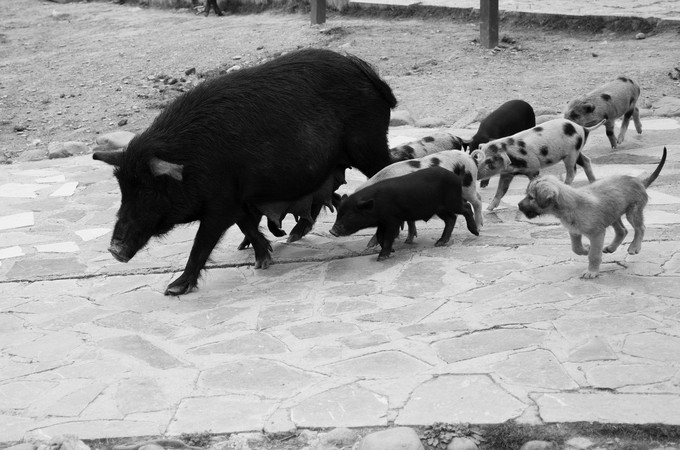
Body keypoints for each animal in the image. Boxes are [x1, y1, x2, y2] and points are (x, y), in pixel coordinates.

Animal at [93, 48, 396, 296]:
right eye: (123, 190)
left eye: (147, 190)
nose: (114, 250)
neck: (191, 159)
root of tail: (369, 74)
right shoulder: (236, 197)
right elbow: (246, 225)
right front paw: (264, 260)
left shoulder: (221, 201)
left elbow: (202, 243)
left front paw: (173, 288)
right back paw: (294, 236)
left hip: (368, 145)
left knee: (389, 170)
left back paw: (373, 242)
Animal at [516, 148, 668, 278]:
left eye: (531, 197)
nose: (519, 205)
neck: (570, 205)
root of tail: (639, 181)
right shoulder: (574, 232)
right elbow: (576, 248)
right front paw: (586, 249)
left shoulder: (597, 234)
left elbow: (594, 255)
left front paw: (592, 271)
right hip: (613, 214)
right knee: (622, 231)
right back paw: (611, 247)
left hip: (633, 211)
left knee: (640, 228)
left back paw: (634, 247)